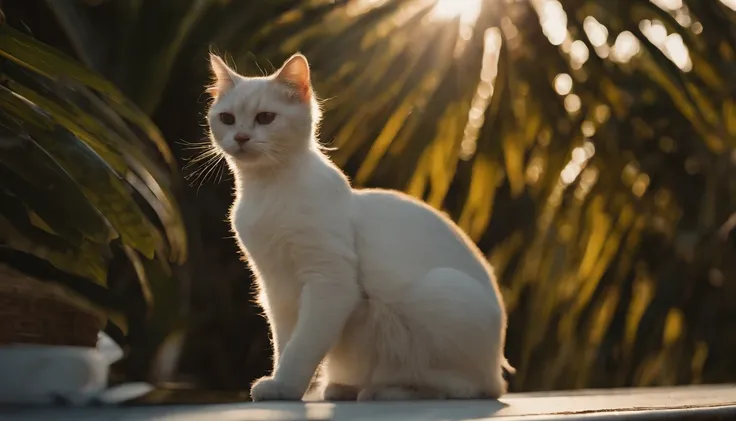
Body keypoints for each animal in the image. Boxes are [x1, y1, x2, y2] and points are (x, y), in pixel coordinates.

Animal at [203, 52, 512, 400]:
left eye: (266, 117)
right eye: (227, 119)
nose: (241, 137)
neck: (266, 191)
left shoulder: (329, 281)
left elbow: (302, 347)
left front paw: (284, 387)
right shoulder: (276, 287)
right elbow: (285, 344)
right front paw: (280, 382)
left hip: (439, 291)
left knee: (462, 387)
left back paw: (388, 391)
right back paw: (344, 388)